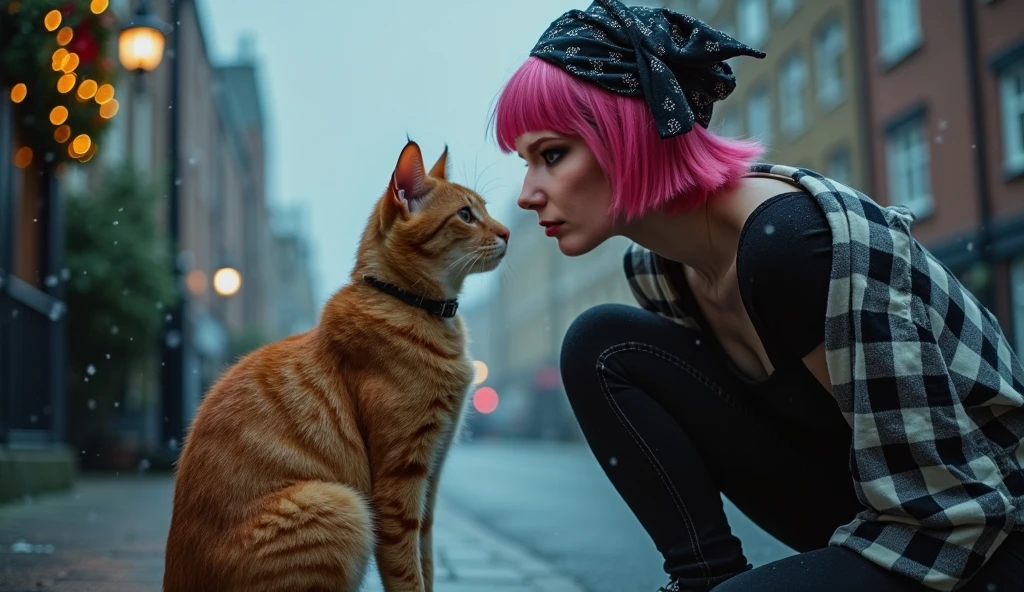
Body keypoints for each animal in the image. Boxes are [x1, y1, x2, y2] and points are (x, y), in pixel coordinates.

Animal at [163, 139, 512, 589]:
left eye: (485, 209)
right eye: (466, 215)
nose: (506, 232)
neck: (415, 306)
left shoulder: (431, 480)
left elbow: (427, 562)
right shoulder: (401, 480)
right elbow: (408, 572)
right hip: (339, 502)